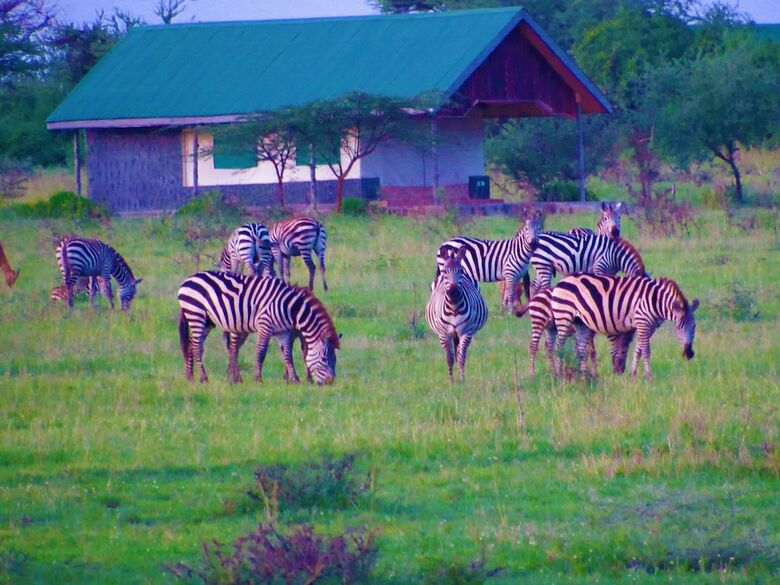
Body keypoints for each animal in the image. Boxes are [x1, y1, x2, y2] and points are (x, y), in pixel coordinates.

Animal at [177, 271, 339, 385]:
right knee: (197, 346)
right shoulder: (265, 325)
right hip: (196, 314)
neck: (290, 308)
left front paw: (294, 380)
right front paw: (258, 379)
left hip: (206, 321)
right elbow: (261, 353)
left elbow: (288, 355)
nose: (330, 382)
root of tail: (188, 279)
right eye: (325, 358)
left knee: (192, 344)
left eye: (334, 359)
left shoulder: (284, 332)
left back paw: (189, 376)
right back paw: (203, 378)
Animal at [426, 247, 488, 382]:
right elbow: (449, 358)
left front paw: (462, 380)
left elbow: (461, 357)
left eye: (460, 271)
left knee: (458, 352)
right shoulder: (444, 334)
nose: (453, 291)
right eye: (445, 271)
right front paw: (451, 381)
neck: (454, 307)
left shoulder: (466, 333)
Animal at [549, 274, 699, 379]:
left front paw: (632, 374)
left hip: (581, 323)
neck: (656, 301)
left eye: (694, 327)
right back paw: (558, 373)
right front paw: (649, 375)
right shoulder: (643, 322)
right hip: (563, 316)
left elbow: (638, 350)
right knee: (558, 347)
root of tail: (562, 281)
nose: (689, 353)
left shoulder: (649, 327)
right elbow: (646, 350)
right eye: (678, 328)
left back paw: (583, 375)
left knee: (580, 350)